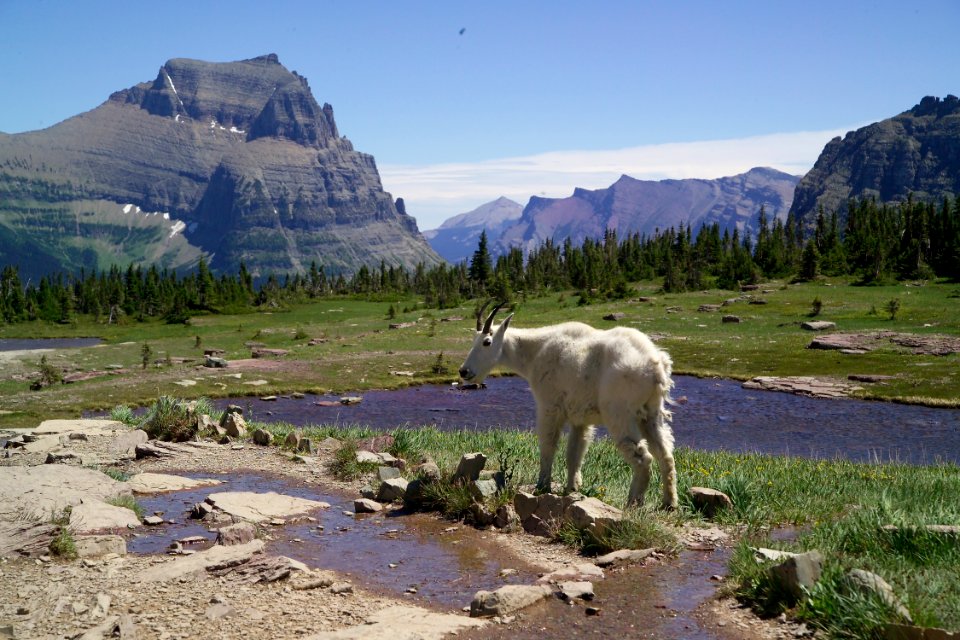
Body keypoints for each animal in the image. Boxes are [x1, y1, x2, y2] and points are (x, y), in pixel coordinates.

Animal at [460, 302, 680, 510]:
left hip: (620, 413)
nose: (464, 371)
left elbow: (548, 446)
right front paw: (572, 488)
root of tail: (656, 365)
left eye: (487, 342)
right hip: (651, 414)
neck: (535, 352)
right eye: (473, 340)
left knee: (643, 458)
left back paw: (633, 503)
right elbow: (574, 453)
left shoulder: (549, 406)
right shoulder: (580, 418)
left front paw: (542, 486)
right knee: (666, 455)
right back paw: (669, 503)